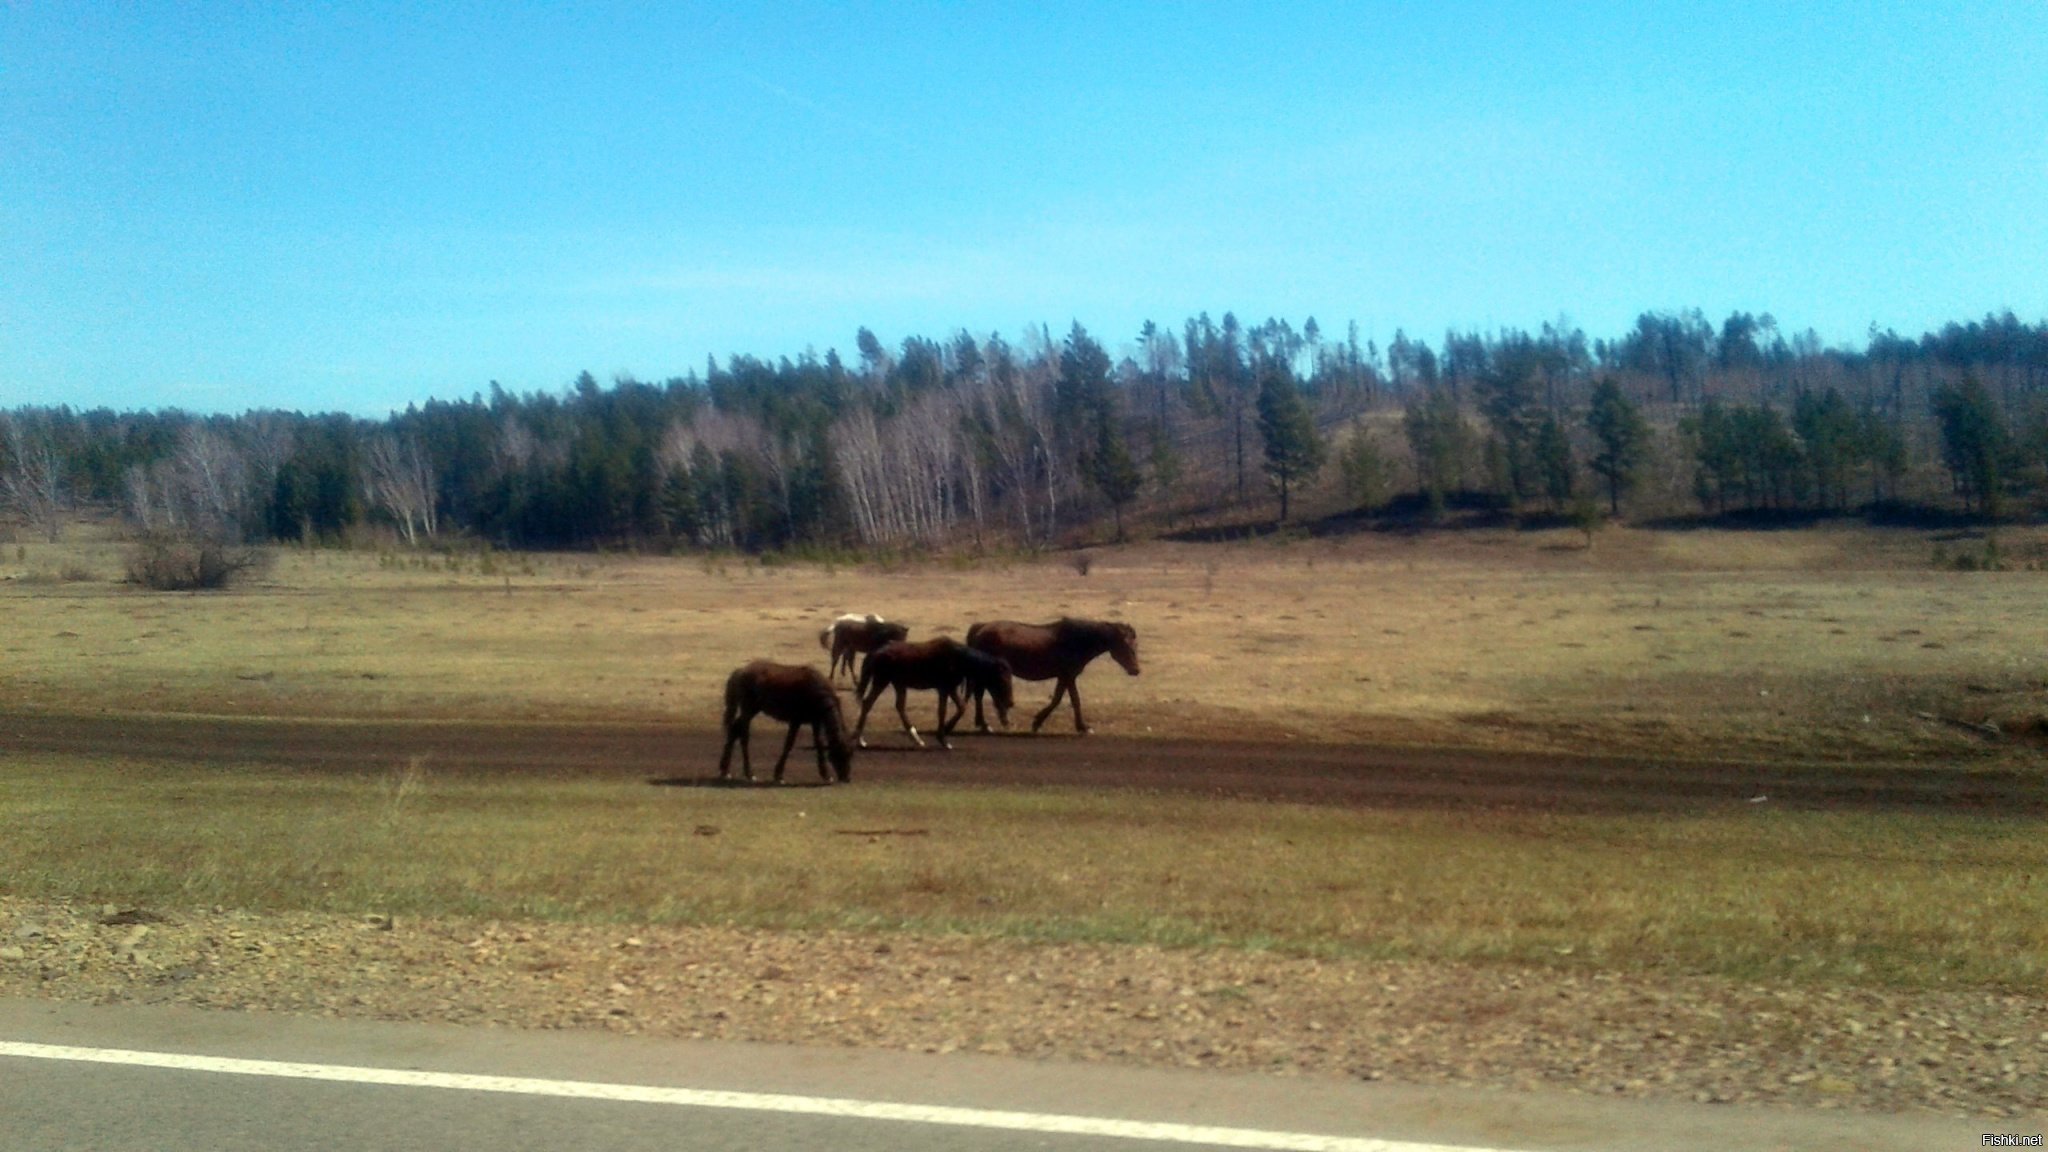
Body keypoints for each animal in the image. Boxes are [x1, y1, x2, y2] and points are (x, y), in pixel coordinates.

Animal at [716, 655, 851, 778]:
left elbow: (819, 742)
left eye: (850, 755)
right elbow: (788, 744)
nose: (846, 778)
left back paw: (725, 770)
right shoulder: (795, 721)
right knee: (743, 736)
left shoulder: (815, 721)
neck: (816, 691)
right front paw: (778, 774)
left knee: (734, 729)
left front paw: (825, 774)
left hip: (754, 710)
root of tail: (741, 671)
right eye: (838, 754)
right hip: (747, 710)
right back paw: (749, 773)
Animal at [847, 631, 1007, 750]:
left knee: (899, 706)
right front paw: (945, 736)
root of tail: (877, 651)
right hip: (882, 681)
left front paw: (943, 736)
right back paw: (859, 738)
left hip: (898, 684)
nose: (1008, 702)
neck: (958, 658)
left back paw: (916, 739)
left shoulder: (944, 689)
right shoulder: (948, 688)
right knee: (868, 703)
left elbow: (947, 709)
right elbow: (957, 708)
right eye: (1002, 679)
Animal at [966, 614, 1146, 729]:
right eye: (1126, 646)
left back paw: (996, 721)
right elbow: (1064, 700)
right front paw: (1039, 722)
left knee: (985, 694)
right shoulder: (1067, 676)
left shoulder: (1067, 677)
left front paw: (1079, 725)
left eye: (1135, 645)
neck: (1076, 641)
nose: (1135, 670)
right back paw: (987, 723)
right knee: (981, 694)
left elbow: (1066, 699)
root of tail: (981, 628)